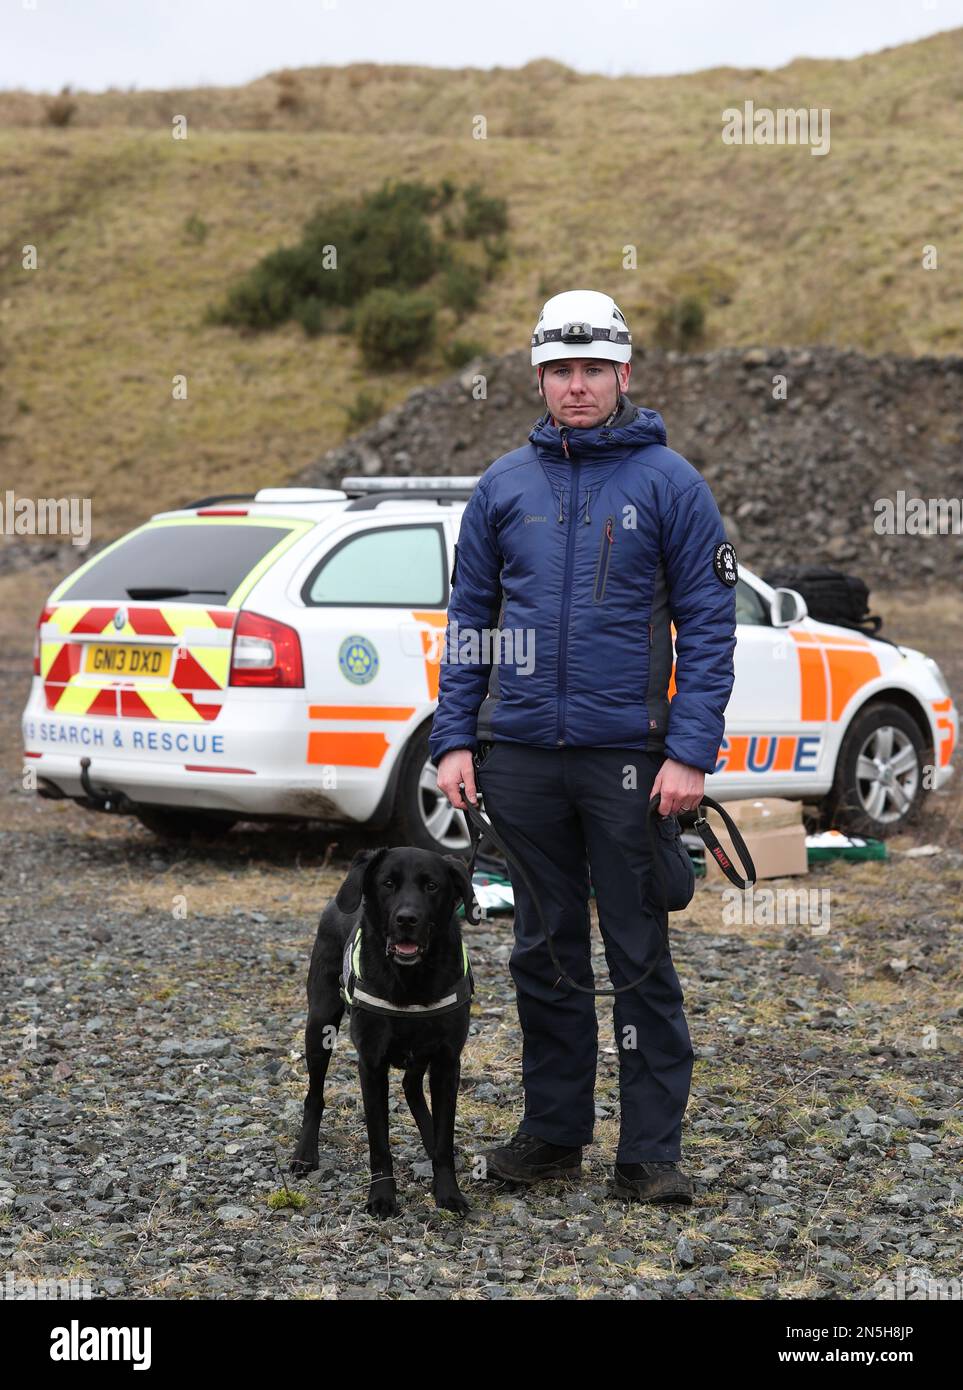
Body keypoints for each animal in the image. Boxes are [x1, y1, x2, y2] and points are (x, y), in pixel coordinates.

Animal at [289, 845, 478, 1217]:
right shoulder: (372, 1065)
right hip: (319, 1024)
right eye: (388, 883)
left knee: (412, 1089)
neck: (412, 980)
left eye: (432, 886)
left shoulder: (447, 1062)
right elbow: (379, 1142)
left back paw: (428, 1137)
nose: (406, 919)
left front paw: (448, 1192)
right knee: (314, 1095)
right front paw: (381, 1197)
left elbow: (445, 1138)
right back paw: (305, 1154)